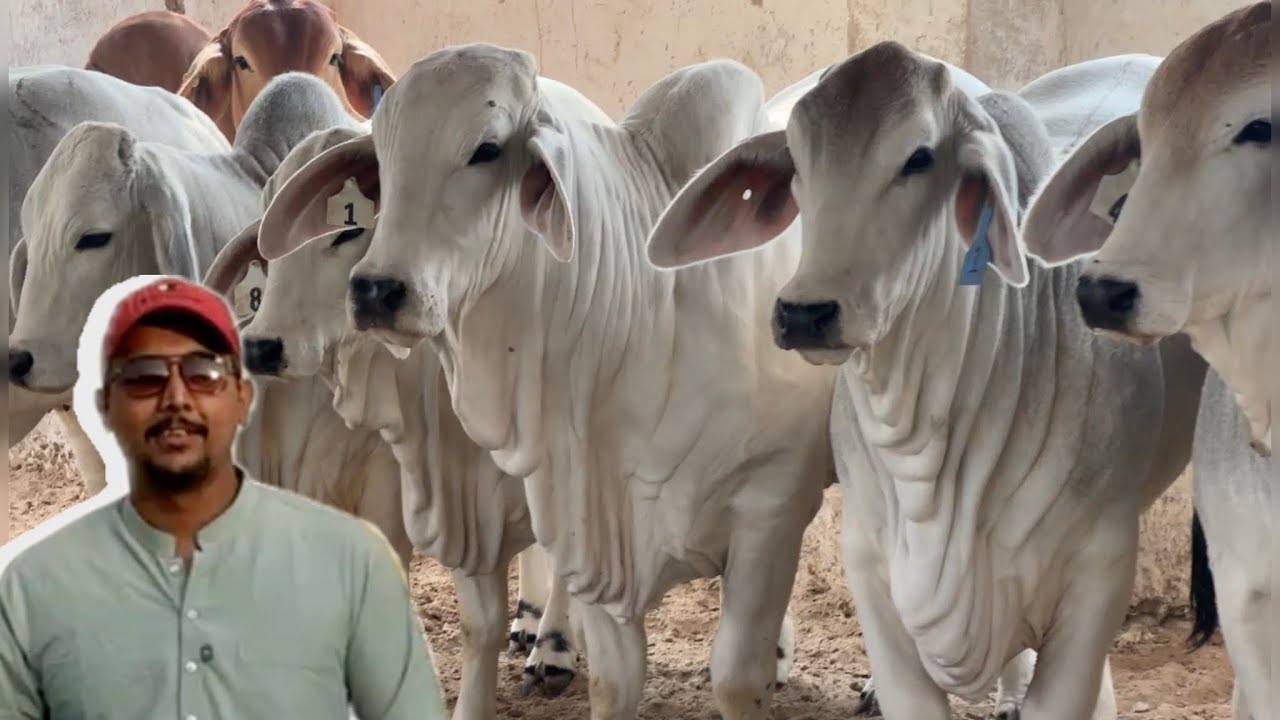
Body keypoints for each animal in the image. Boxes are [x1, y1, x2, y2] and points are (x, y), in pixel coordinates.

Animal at [251, 47, 841, 719]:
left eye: (486, 148)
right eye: (381, 157)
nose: (376, 290)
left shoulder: (769, 507)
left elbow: (736, 678)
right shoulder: (556, 503)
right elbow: (556, 656)